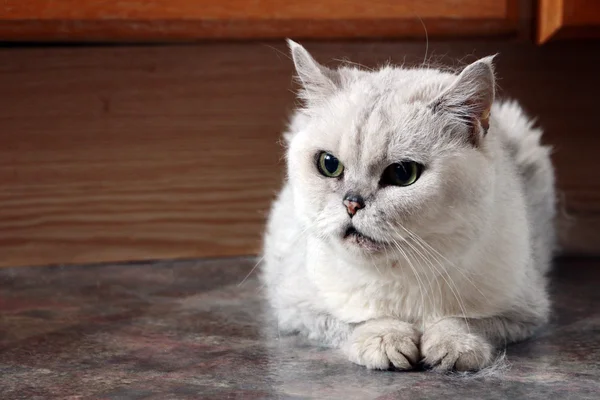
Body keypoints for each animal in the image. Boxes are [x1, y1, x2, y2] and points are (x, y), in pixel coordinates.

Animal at [260, 40, 556, 372]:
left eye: (403, 174)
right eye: (329, 165)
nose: (352, 204)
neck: (401, 272)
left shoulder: (524, 312)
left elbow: (462, 321)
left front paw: (452, 347)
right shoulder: (295, 307)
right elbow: (362, 321)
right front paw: (387, 342)